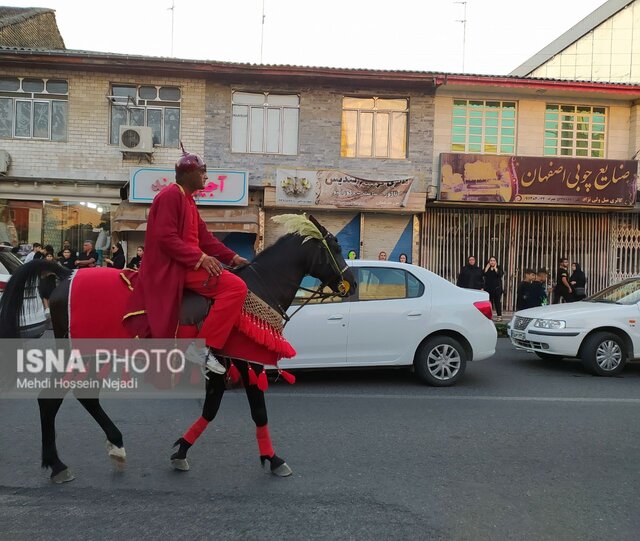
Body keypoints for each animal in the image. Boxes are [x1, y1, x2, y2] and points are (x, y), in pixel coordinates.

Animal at [0, 213, 356, 484]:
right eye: (336, 247)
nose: (351, 284)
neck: (258, 288)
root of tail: (65, 274)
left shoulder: (226, 363)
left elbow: (211, 408)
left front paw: (181, 451)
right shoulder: (247, 360)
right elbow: (257, 411)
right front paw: (274, 458)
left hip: (94, 355)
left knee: (84, 396)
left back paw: (113, 446)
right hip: (80, 353)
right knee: (51, 399)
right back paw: (58, 464)